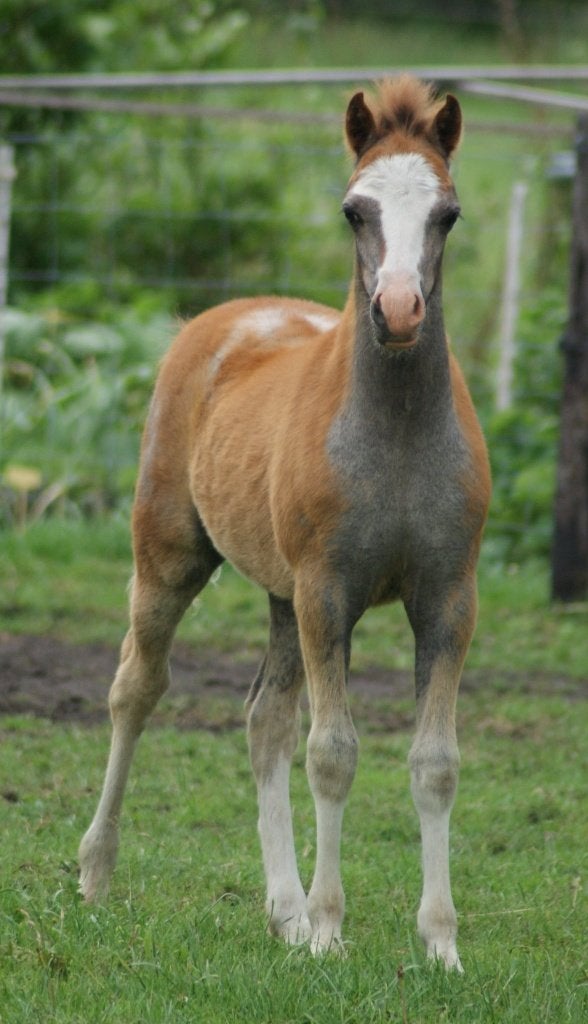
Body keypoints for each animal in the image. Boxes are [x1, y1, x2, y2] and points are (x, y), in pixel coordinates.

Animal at [78, 75, 491, 971]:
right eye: (354, 210)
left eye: (447, 213)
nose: (398, 310)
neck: (395, 438)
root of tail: (224, 318)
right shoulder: (327, 592)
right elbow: (332, 753)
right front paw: (332, 932)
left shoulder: (448, 598)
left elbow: (435, 763)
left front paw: (439, 944)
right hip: (171, 557)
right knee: (136, 688)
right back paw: (96, 872)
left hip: (278, 594)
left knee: (263, 719)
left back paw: (284, 912)